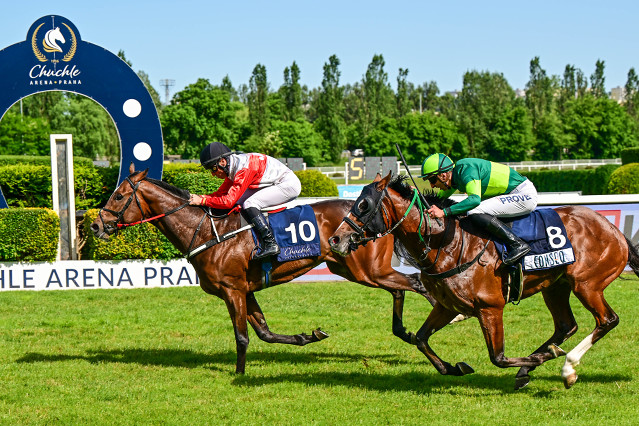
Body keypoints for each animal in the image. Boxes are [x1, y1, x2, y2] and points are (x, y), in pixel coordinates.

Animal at [90, 165, 438, 374]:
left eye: (119, 196)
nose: (95, 225)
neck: (207, 232)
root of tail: (380, 215)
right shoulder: (244, 290)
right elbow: (265, 333)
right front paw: (308, 336)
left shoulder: (232, 290)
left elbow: (243, 337)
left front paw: (239, 374)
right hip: (354, 269)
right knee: (400, 288)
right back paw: (406, 330)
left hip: (367, 270)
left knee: (417, 282)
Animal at [330, 173, 639, 390]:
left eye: (364, 204)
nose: (335, 239)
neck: (447, 241)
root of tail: (613, 229)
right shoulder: (447, 305)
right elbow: (420, 339)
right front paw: (454, 367)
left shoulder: (490, 307)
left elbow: (498, 357)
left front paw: (542, 358)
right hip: (556, 286)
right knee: (566, 326)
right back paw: (533, 367)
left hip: (587, 284)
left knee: (607, 320)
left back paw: (567, 367)